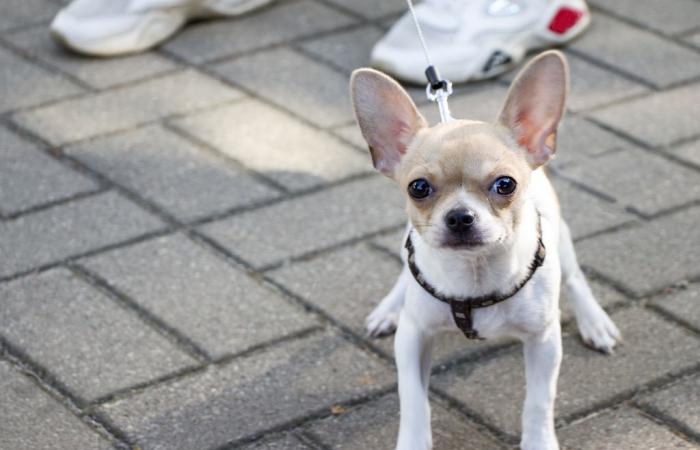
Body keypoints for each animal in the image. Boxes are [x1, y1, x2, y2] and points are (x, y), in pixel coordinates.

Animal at [352, 51, 620, 448]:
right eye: (418, 187)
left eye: (505, 184)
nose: (460, 216)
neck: (474, 274)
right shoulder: (413, 339)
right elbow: (413, 399)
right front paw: (414, 440)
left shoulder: (544, 341)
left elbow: (539, 401)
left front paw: (539, 442)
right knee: (404, 273)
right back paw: (389, 309)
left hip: (562, 241)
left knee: (575, 280)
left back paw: (595, 321)